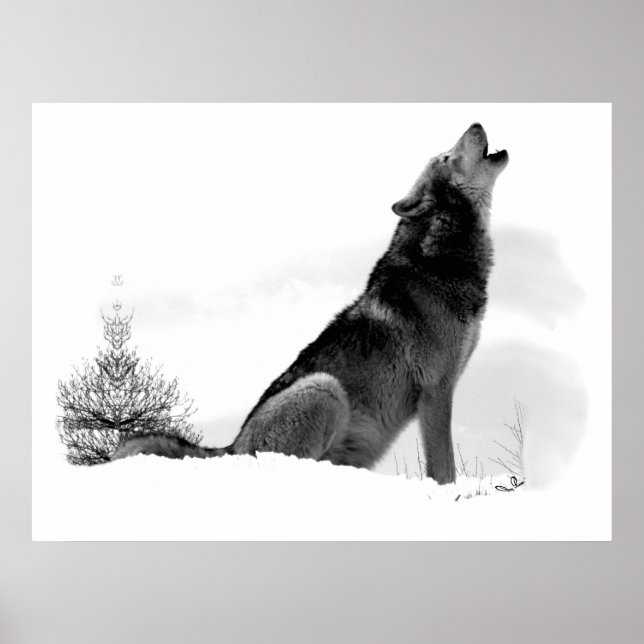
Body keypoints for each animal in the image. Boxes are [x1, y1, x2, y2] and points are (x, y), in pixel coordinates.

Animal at [112, 123, 508, 484]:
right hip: (324, 389)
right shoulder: (436, 390)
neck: (439, 257)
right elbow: (445, 469)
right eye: (446, 157)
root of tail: (231, 447)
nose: (475, 123)